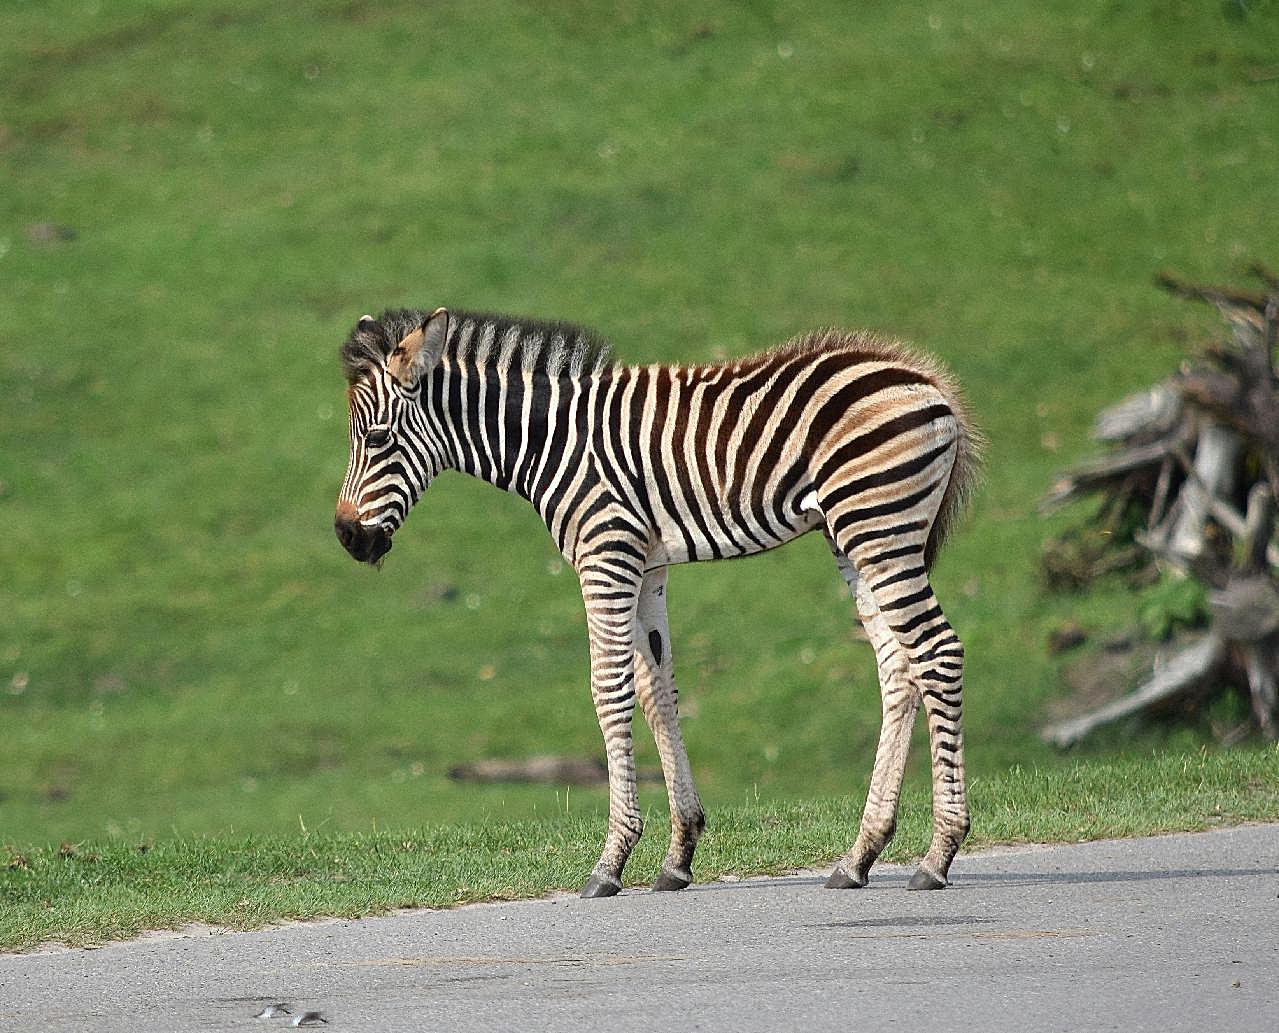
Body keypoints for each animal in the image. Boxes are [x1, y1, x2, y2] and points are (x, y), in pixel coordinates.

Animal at [335, 304, 982, 894]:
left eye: (376, 438)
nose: (346, 537)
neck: (549, 441)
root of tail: (928, 379)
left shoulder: (606, 554)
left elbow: (609, 692)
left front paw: (611, 861)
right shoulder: (647, 565)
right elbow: (656, 692)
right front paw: (679, 854)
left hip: (878, 523)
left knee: (938, 652)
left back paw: (938, 855)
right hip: (854, 535)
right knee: (898, 666)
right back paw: (859, 857)